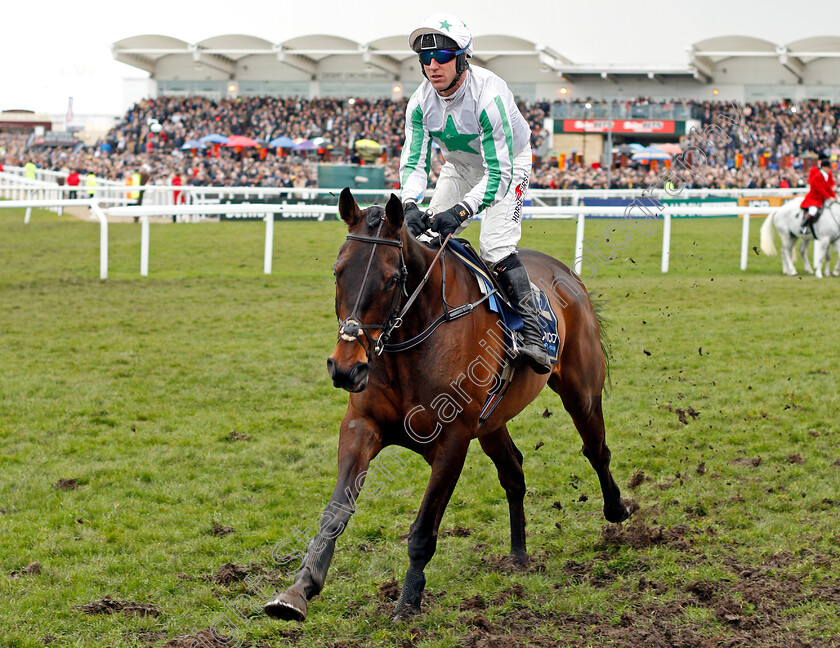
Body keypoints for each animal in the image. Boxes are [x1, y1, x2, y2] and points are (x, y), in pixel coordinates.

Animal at [266, 189, 632, 624]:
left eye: (392, 279)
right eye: (338, 272)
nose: (345, 367)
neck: (412, 339)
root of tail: (568, 275)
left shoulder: (453, 440)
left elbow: (423, 531)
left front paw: (407, 601)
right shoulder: (361, 425)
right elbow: (335, 512)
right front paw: (299, 588)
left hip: (581, 392)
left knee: (596, 449)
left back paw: (616, 508)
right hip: (493, 420)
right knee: (514, 473)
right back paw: (518, 554)